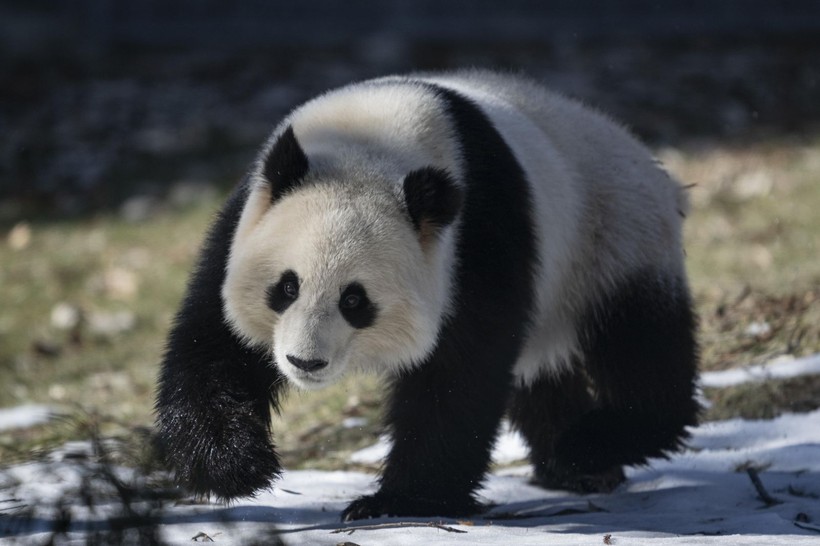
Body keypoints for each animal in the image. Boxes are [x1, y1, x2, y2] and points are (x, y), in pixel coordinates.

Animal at [154, 68, 700, 520]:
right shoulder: (245, 218)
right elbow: (215, 341)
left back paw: (591, 443)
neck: (370, 143)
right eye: (286, 287)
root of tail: (651, 163)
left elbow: (459, 372)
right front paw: (236, 465)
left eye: (355, 301)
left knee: (639, 344)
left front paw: (398, 501)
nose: (304, 362)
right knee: (541, 370)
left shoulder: (476, 240)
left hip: (615, 238)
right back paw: (570, 464)